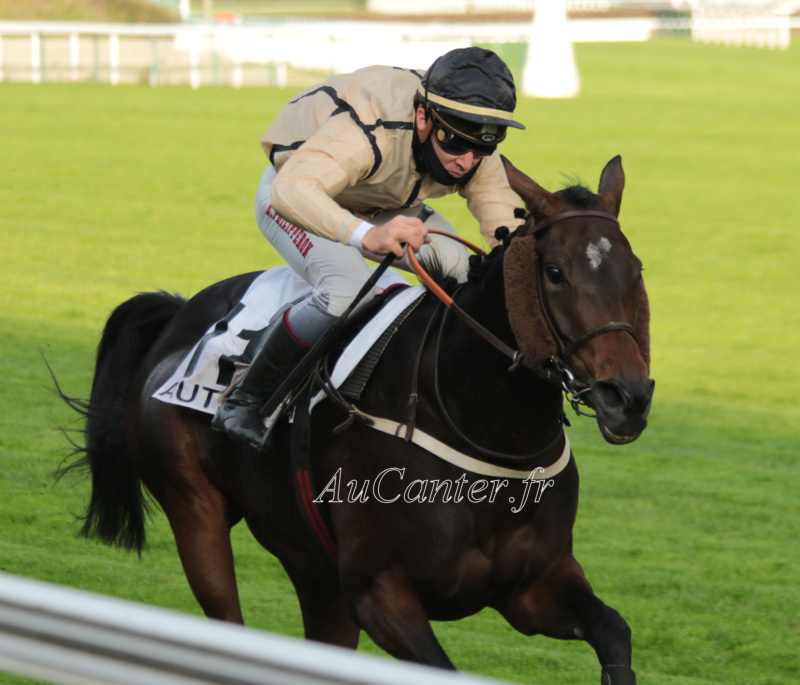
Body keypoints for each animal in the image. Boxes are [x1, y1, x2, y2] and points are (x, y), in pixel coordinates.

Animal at [59, 156, 652, 684]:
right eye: (555, 273)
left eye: (637, 269)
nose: (628, 397)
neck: (487, 433)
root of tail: (179, 314)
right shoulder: (379, 589)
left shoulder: (532, 585)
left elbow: (614, 631)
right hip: (194, 510)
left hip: (314, 569)